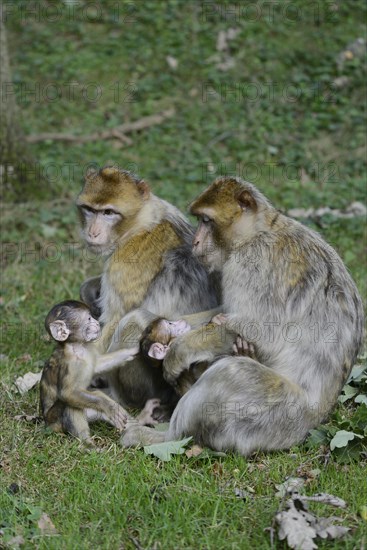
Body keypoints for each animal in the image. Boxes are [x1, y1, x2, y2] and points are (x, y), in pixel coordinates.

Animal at [40, 302, 138, 448]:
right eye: (89, 319)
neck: (76, 347)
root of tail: (46, 423)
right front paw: (108, 405)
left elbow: (97, 365)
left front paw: (133, 351)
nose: (97, 323)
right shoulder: (70, 365)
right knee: (68, 405)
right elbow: (67, 393)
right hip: (54, 421)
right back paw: (87, 445)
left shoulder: (88, 351)